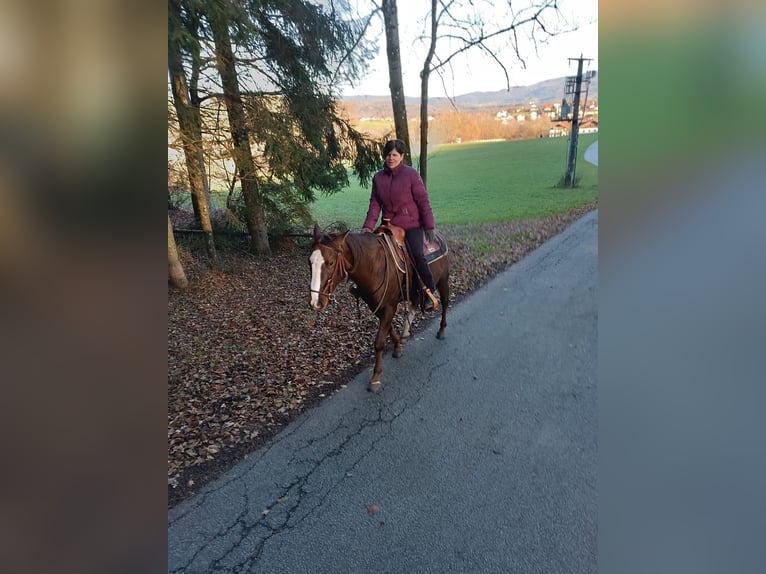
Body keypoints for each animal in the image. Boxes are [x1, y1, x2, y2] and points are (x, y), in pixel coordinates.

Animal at [308, 224, 448, 392]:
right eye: (309, 262)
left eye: (330, 262)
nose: (316, 302)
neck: (374, 266)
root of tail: (439, 235)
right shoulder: (378, 306)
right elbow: (390, 329)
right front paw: (398, 346)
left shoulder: (389, 307)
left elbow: (379, 342)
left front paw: (375, 378)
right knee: (414, 306)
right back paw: (406, 333)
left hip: (443, 280)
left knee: (445, 303)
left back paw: (441, 331)